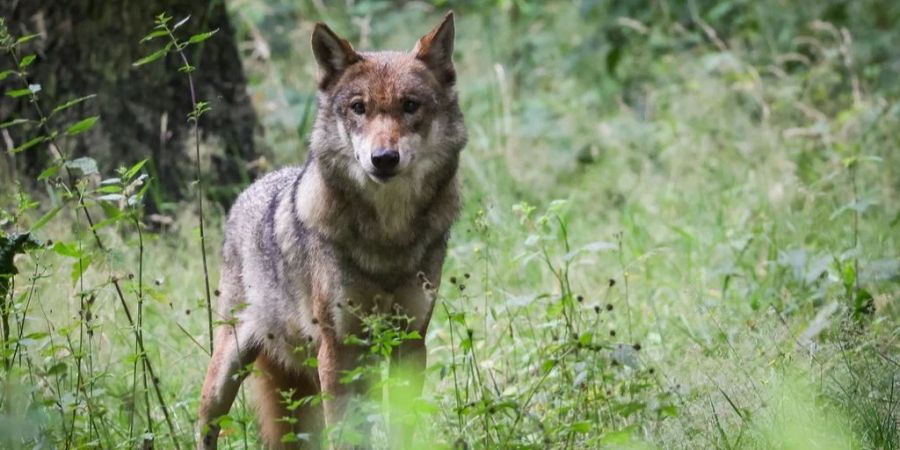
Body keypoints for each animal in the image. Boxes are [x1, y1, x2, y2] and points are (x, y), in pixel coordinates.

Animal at [196, 10, 464, 450]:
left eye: (410, 106)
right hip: (226, 375)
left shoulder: (410, 341)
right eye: (358, 108)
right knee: (205, 423)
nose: (384, 158)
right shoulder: (337, 349)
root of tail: (251, 188)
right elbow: (344, 432)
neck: (387, 238)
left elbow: (402, 424)